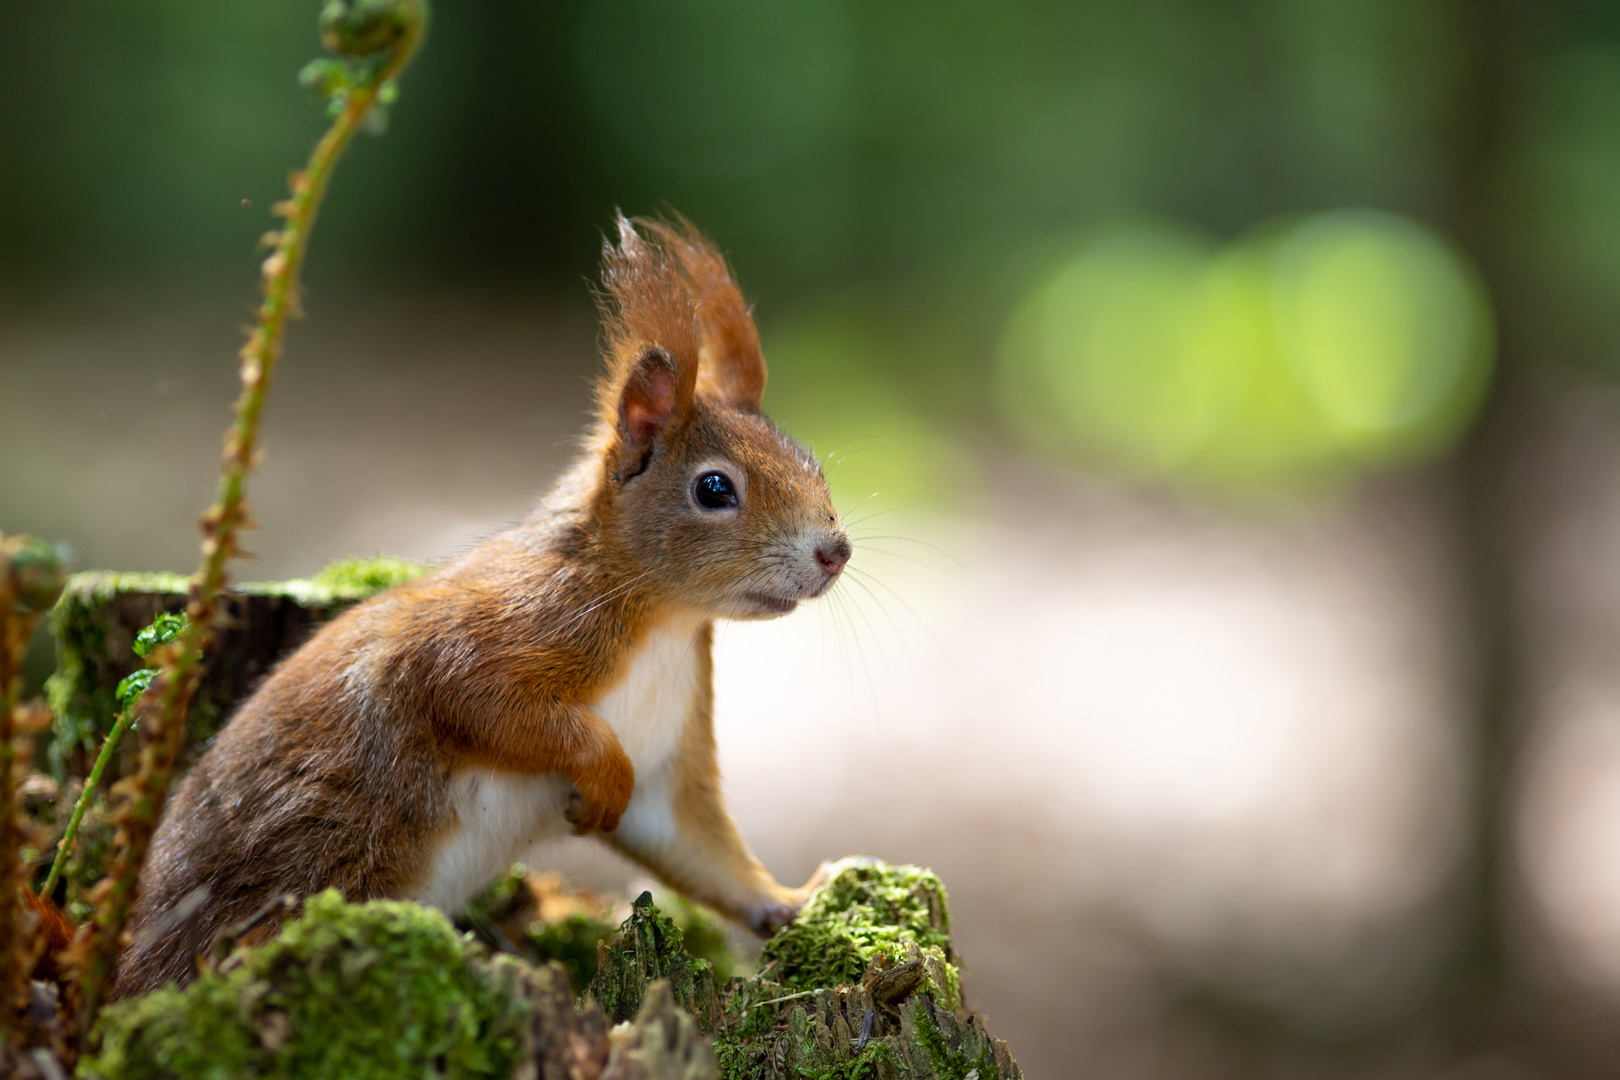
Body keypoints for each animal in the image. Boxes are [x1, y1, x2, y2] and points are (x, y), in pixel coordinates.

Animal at [112, 213, 848, 997]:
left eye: (810, 462)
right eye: (714, 489)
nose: (835, 551)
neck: (662, 619)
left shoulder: (667, 750)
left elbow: (695, 845)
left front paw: (792, 902)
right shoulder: (491, 635)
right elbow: (486, 702)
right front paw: (601, 778)